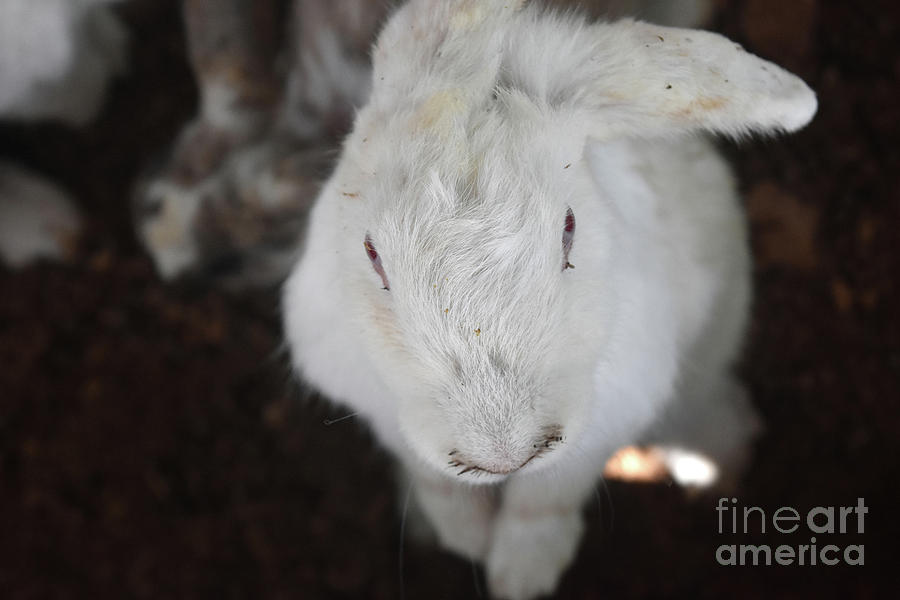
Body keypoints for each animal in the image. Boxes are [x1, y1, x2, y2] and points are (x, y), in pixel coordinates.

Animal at [284, 2, 816, 596]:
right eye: (372, 253)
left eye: (569, 228)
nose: (505, 456)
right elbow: (435, 480)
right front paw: (466, 538)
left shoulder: (611, 413)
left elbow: (547, 498)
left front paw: (523, 575)